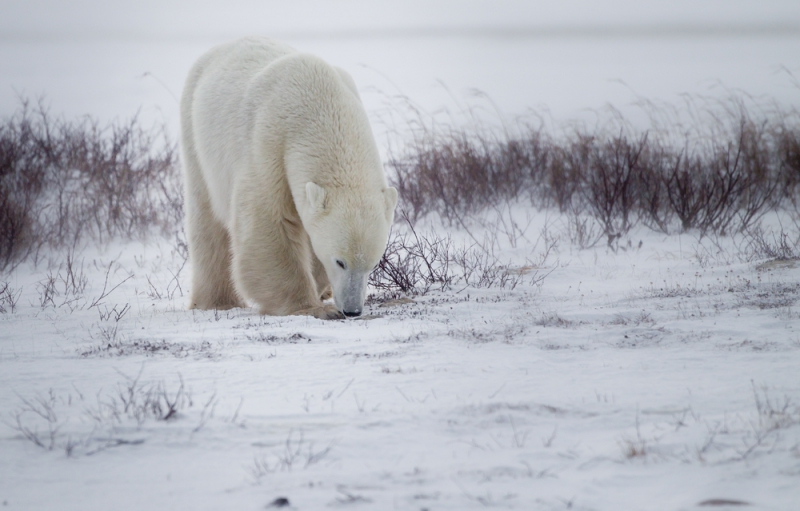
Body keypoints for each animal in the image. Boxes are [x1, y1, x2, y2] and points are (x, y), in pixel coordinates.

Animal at [180, 38, 396, 318]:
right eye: (340, 262)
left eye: (372, 263)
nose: (352, 310)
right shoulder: (268, 144)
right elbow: (269, 224)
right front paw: (309, 306)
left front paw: (319, 290)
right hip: (196, 136)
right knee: (208, 220)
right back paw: (217, 300)